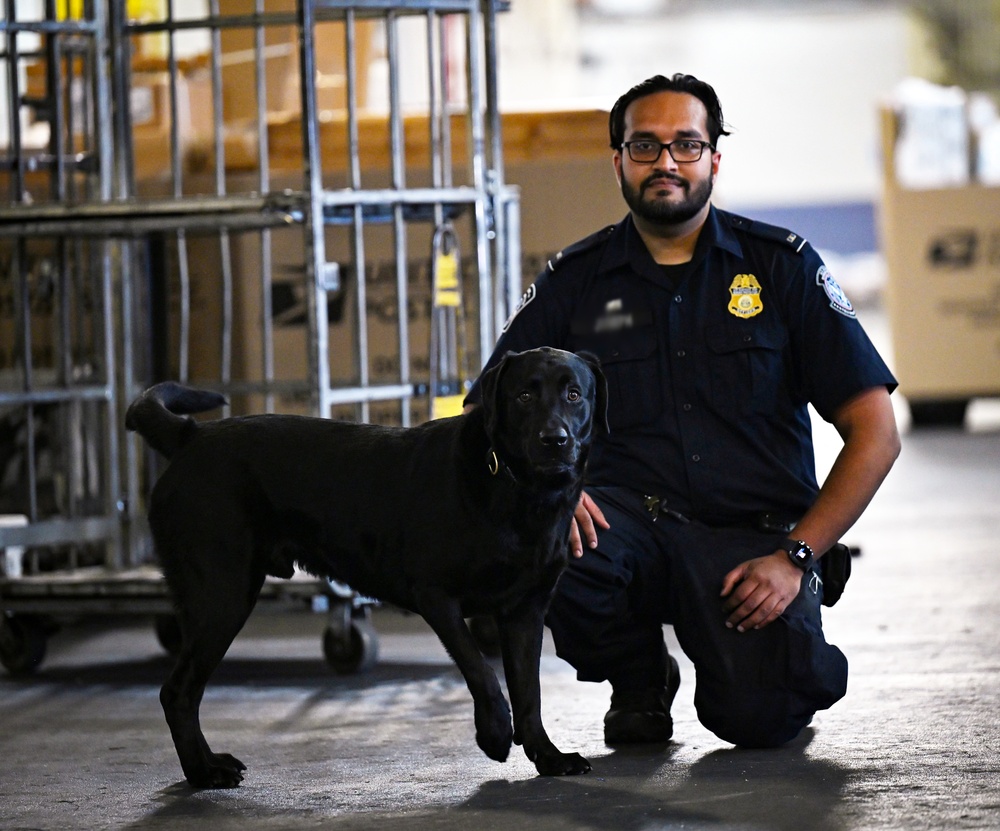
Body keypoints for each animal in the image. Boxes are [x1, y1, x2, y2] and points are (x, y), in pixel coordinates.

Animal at [128, 348, 604, 788]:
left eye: (574, 395)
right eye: (524, 395)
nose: (555, 438)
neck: (518, 489)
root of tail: (190, 435)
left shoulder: (526, 611)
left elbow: (529, 693)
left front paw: (549, 756)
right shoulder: (436, 594)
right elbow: (481, 671)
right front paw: (495, 733)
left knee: (186, 691)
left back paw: (209, 762)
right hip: (223, 596)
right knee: (178, 692)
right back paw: (203, 771)